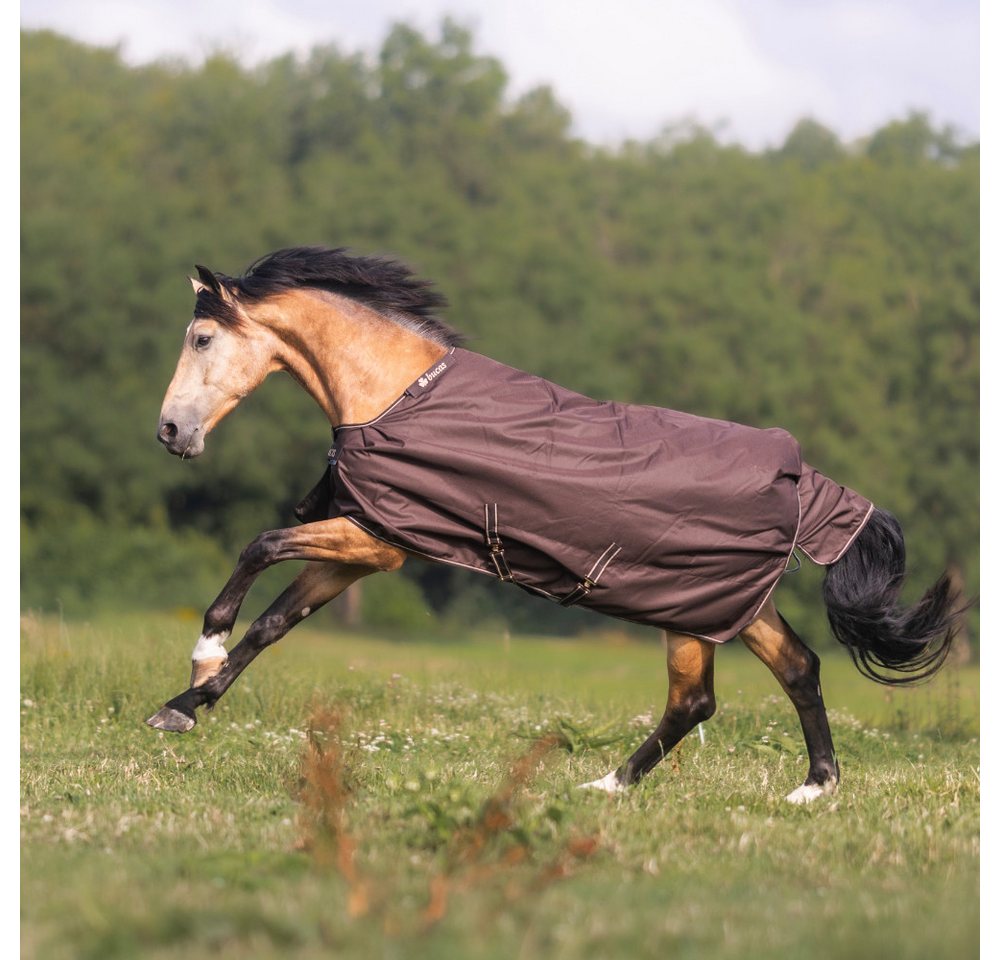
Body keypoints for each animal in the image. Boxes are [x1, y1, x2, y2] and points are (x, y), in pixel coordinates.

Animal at [147, 246, 962, 804]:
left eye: (201, 340)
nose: (170, 432)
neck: (397, 395)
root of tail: (802, 478)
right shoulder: (362, 547)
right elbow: (274, 626)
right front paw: (185, 707)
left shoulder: (374, 544)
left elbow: (257, 550)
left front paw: (200, 656)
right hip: (731, 604)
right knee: (796, 668)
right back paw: (809, 787)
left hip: (687, 611)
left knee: (696, 700)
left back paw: (610, 786)